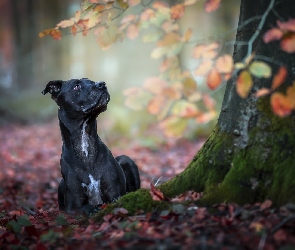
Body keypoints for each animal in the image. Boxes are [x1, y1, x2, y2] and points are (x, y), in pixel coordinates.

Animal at [41, 78, 141, 215]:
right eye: (76, 86)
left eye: (91, 81)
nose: (102, 84)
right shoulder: (72, 207)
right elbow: (86, 207)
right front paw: (94, 208)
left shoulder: (115, 194)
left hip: (126, 159)